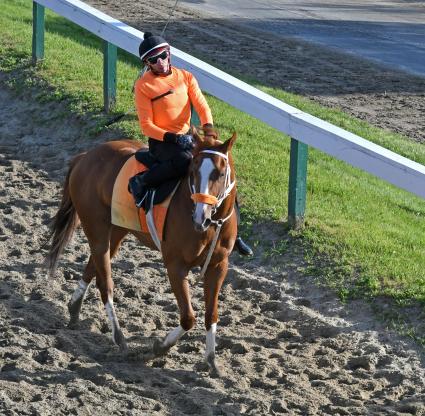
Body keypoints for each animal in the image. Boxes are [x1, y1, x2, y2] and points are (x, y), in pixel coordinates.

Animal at [46, 128, 238, 376]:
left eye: (220, 173)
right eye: (193, 171)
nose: (200, 217)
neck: (212, 227)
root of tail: (85, 156)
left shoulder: (218, 266)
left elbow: (211, 314)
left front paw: (212, 362)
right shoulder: (175, 266)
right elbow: (188, 318)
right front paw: (158, 348)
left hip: (117, 231)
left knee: (91, 268)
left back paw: (74, 309)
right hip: (96, 228)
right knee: (105, 282)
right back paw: (119, 338)